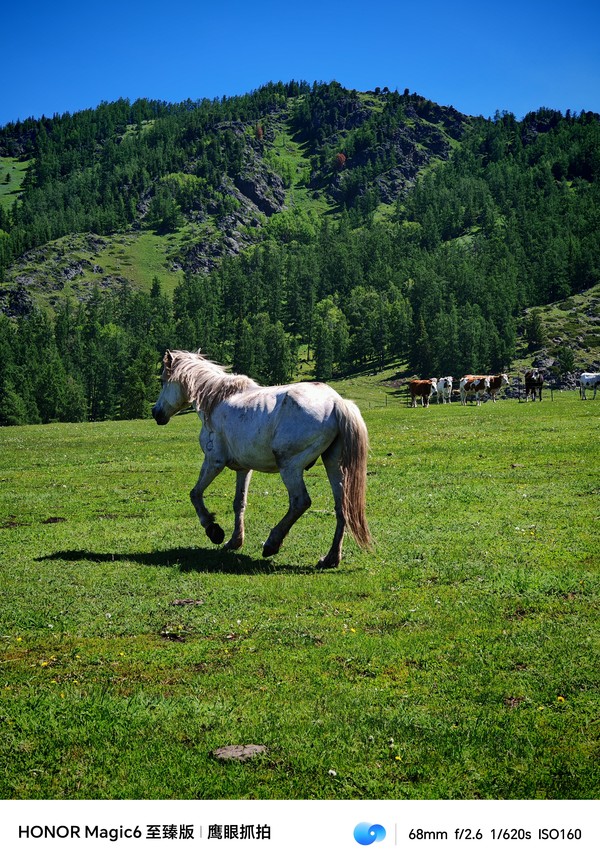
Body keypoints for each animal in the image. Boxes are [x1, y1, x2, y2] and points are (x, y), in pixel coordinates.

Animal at [151, 352, 370, 568]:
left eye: (163, 381)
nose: (156, 412)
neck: (216, 399)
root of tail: (336, 402)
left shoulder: (214, 461)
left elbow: (195, 494)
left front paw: (214, 530)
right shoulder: (243, 468)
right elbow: (239, 502)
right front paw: (234, 541)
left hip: (289, 466)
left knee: (300, 501)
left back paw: (272, 543)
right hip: (333, 464)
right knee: (342, 508)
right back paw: (330, 558)